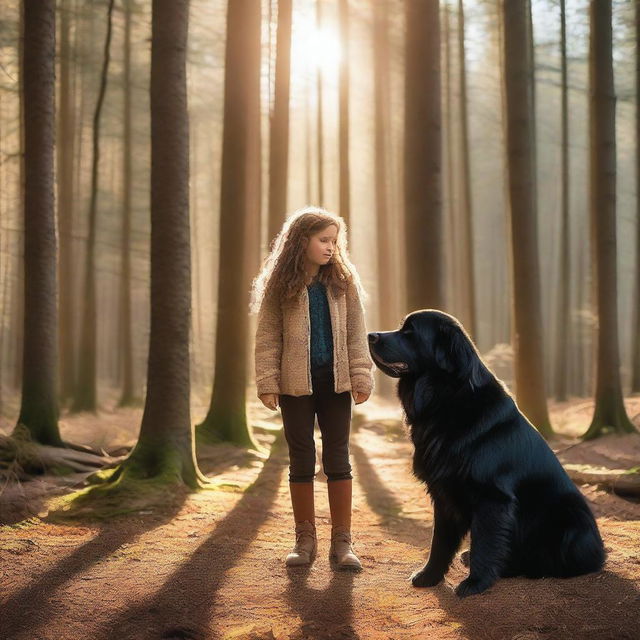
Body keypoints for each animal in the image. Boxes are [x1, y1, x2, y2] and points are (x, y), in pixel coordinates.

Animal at [370, 312, 604, 596]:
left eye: (409, 332)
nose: (370, 335)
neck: (446, 398)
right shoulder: (444, 493)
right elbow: (440, 542)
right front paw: (430, 576)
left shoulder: (492, 497)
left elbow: (485, 543)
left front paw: (475, 583)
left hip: (569, 518)